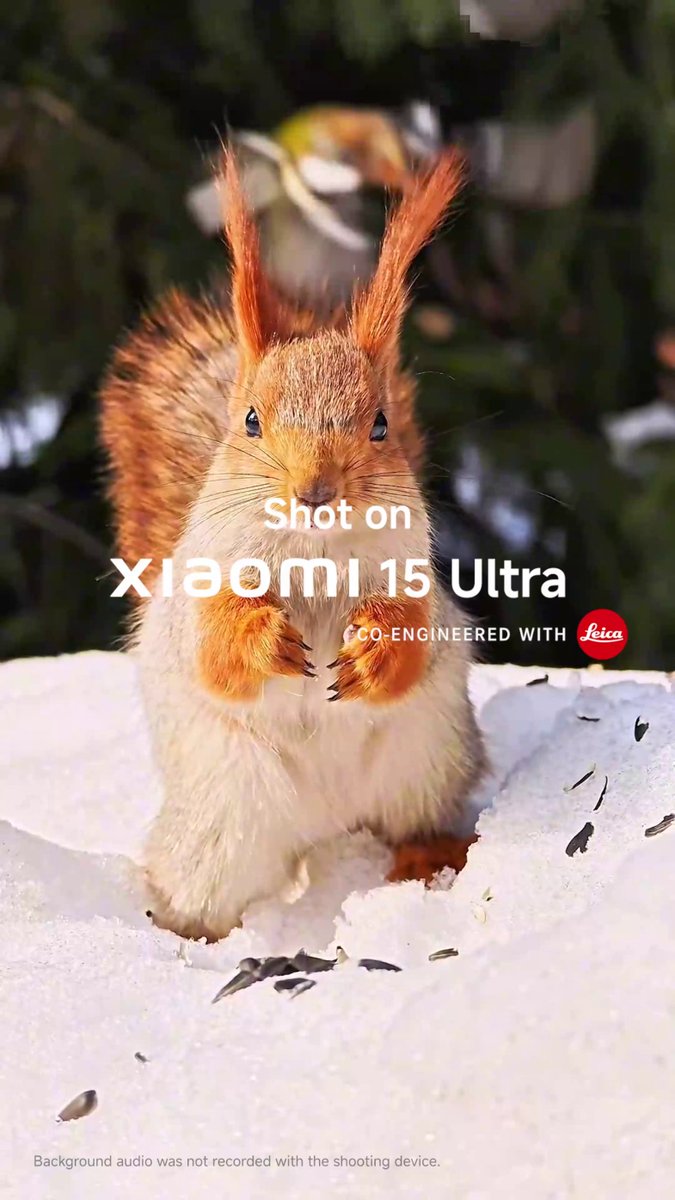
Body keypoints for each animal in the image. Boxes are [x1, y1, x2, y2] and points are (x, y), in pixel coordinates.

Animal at [100, 147, 486, 942]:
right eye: (249, 420)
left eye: (379, 425)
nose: (315, 489)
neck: (314, 554)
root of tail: (326, 828)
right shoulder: (200, 589)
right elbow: (213, 652)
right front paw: (264, 640)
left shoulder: (413, 579)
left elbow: (414, 635)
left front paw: (373, 654)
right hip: (222, 821)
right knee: (200, 888)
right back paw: (180, 932)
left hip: (426, 756)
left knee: (414, 820)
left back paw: (429, 856)